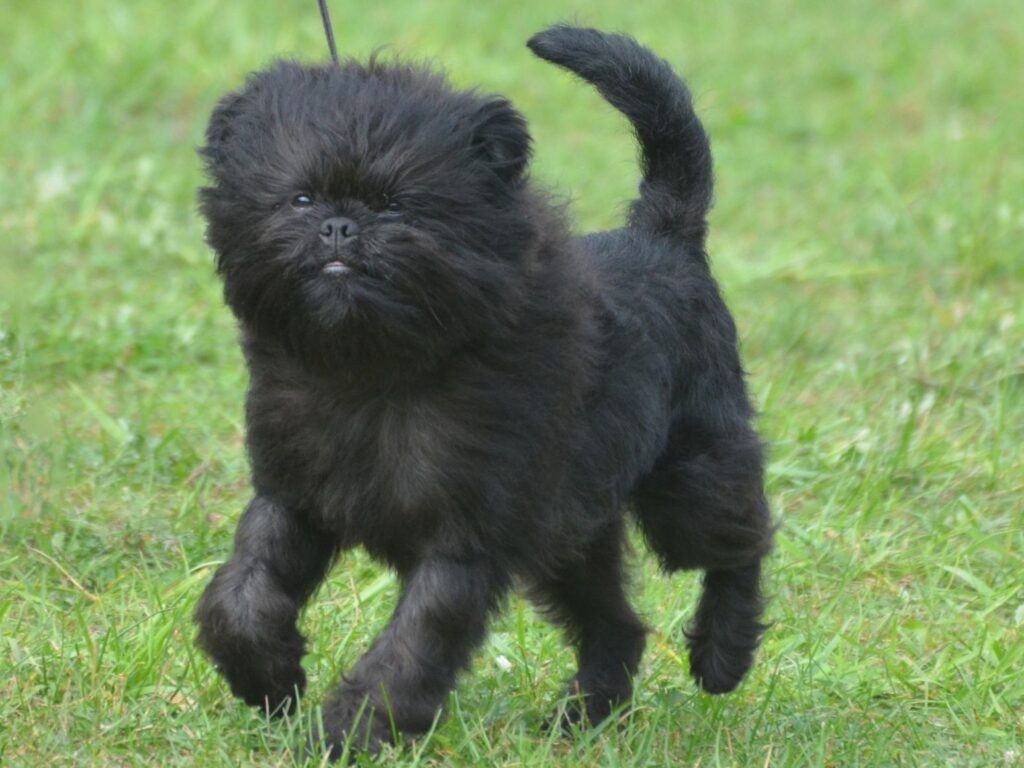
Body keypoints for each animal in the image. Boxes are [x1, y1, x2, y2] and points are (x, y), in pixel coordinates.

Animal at [193, 22, 770, 757]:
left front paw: (354, 730)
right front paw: (267, 678)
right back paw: (583, 718)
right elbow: (241, 594)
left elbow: (411, 644)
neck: (373, 371)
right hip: (569, 536)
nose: (340, 225)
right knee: (617, 622)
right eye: (299, 199)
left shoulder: (465, 539)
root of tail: (666, 236)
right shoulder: (293, 500)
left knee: (742, 542)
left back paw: (723, 654)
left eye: (396, 205)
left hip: (690, 473)